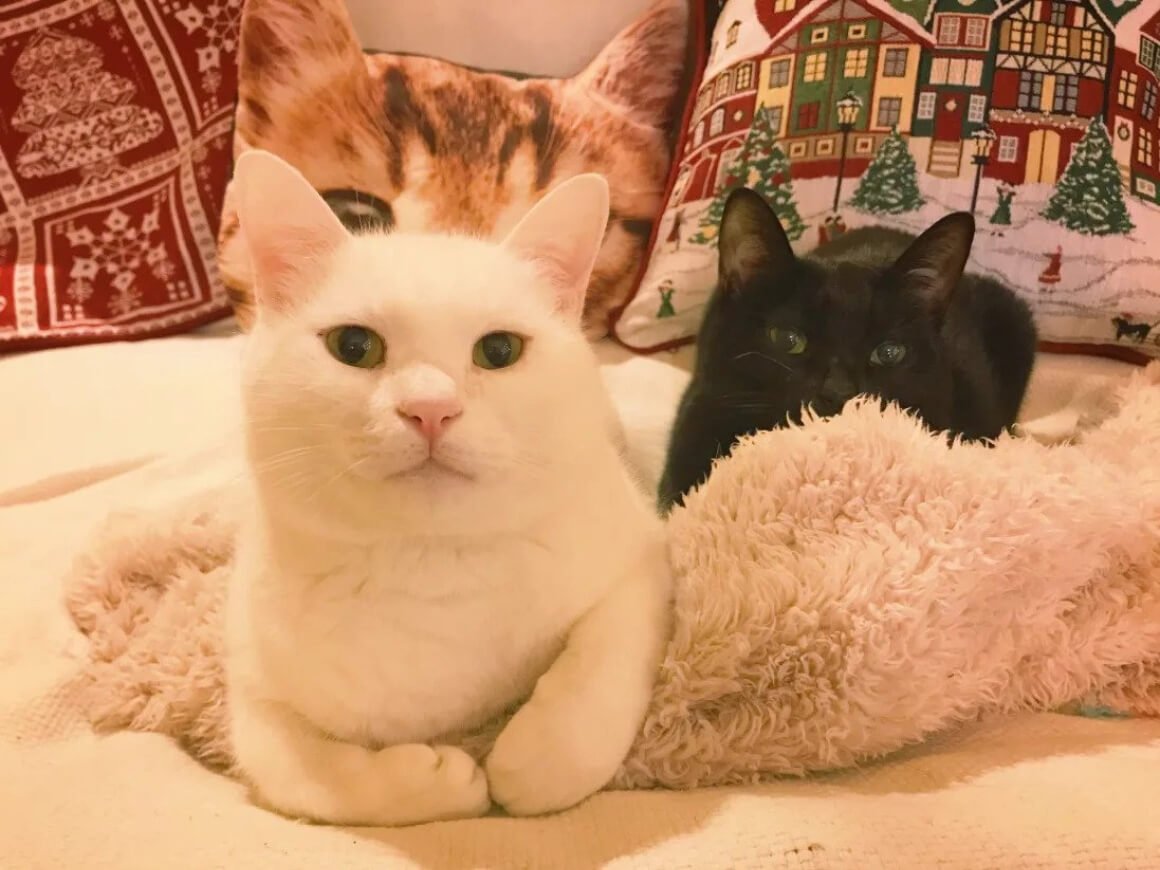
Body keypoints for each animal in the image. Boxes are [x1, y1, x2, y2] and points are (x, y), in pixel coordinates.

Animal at [223, 151, 672, 830]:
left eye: (500, 350)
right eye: (354, 346)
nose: (430, 409)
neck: (431, 566)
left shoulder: (640, 557)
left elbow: (601, 674)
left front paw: (532, 763)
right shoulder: (250, 694)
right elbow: (306, 777)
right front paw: (433, 782)